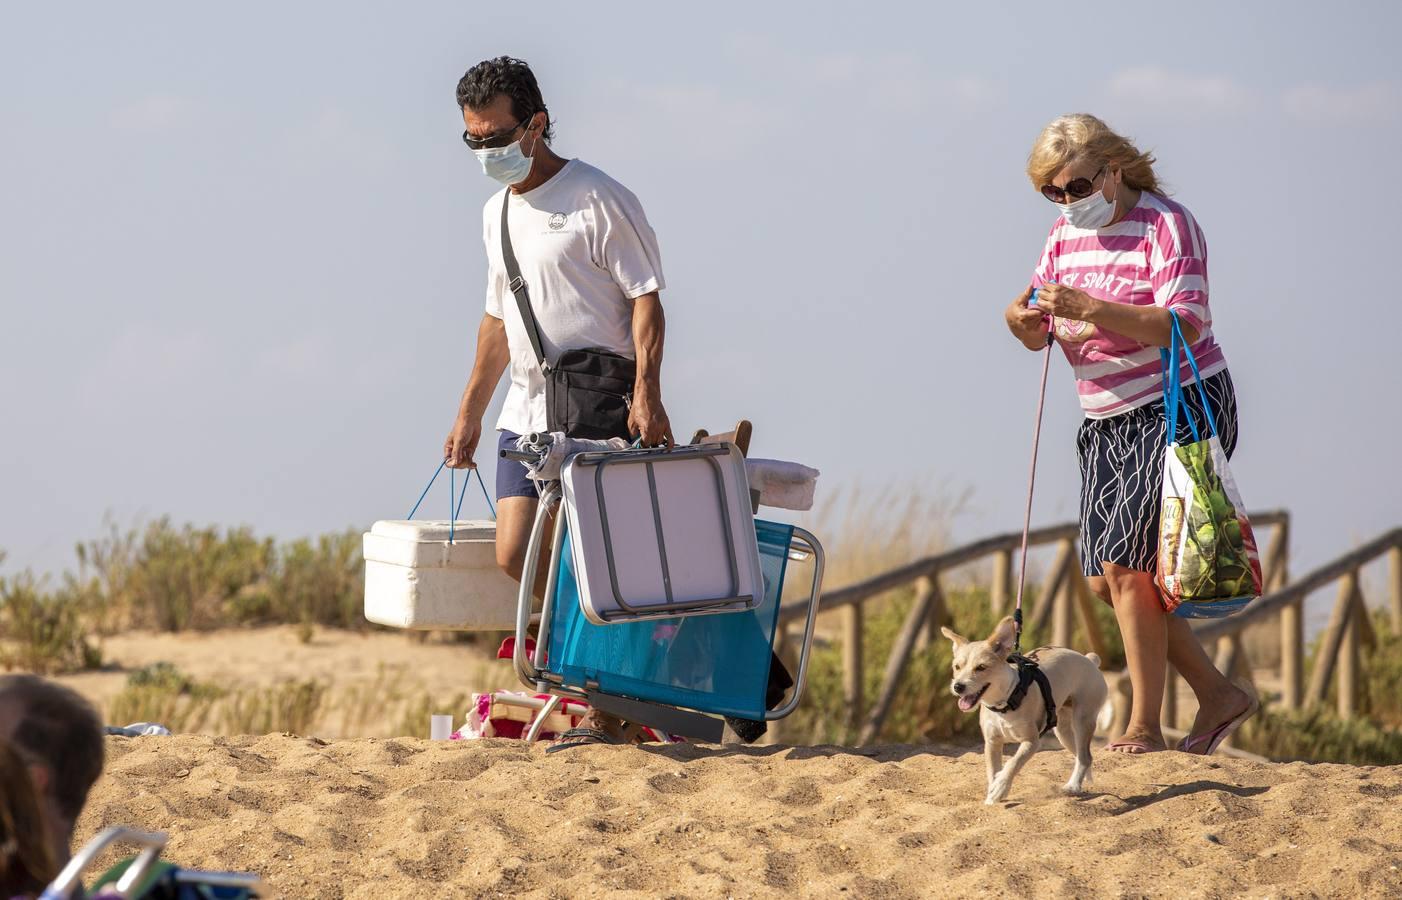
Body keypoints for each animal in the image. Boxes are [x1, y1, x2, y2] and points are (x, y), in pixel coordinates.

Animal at [942, 614, 1104, 801]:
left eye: (981, 667)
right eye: (957, 667)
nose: (958, 686)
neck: (1005, 703)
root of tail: (1089, 660)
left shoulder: (1031, 741)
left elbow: (1013, 762)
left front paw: (1000, 786)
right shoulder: (991, 743)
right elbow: (992, 770)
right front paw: (992, 793)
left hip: (1082, 720)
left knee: (1085, 757)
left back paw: (1073, 786)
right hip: (1063, 731)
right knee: (1081, 756)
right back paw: (1080, 781)